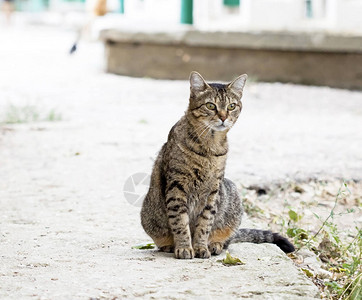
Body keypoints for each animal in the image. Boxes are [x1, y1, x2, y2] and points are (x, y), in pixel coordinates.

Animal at [139, 71, 294, 258]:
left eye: (232, 106)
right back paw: (170, 246)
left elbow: (205, 223)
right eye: (210, 105)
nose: (223, 117)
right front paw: (184, 247)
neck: (210, 146)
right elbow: (180, 222)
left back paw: (215, 245)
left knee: (227, 240)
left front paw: (200, 247)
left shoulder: (214, 189)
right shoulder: (177, 186)